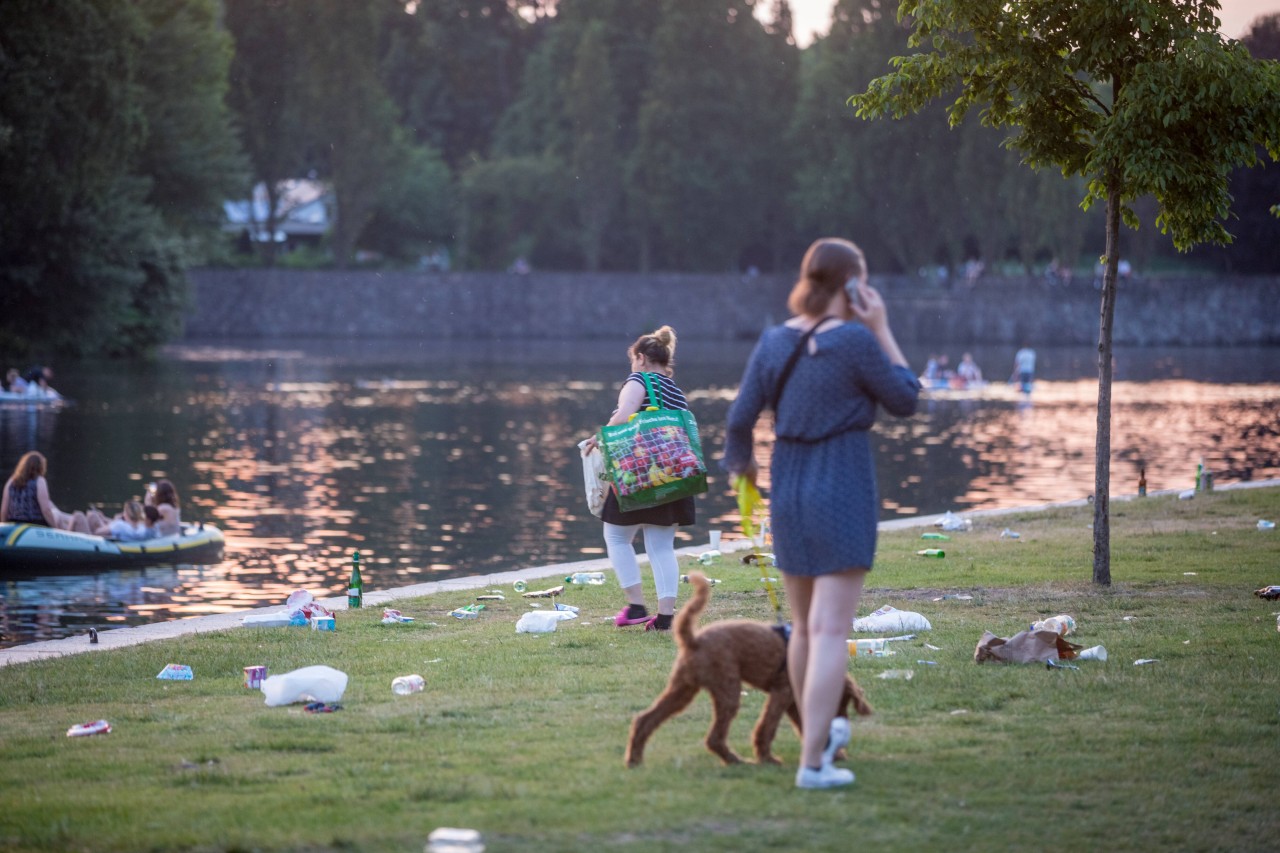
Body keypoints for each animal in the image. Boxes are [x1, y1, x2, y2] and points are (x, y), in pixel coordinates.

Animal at [627, 571, 875, 763]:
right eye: (841, 703)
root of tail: (694, 640)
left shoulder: (792, 701)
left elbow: (803, 725)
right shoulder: (782, 693)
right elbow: (768, 727)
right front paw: (767, 758)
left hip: (683, 688)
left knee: (645, 719)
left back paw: (635, 760)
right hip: (727, 690)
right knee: (714, 737)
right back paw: (736, 760)